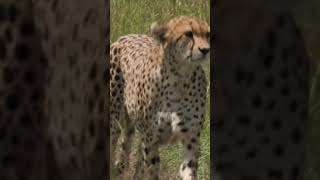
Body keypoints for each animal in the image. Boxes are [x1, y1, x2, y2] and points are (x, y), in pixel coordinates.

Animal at [110, 16, 210, 179]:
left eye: (208, 34)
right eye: (188, 34)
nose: (205, 50)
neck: (180, 77)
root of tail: (126, 36)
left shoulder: (190, 138)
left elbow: (188, 170)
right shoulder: (152, 141)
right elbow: (152, 170)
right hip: (114, 119)